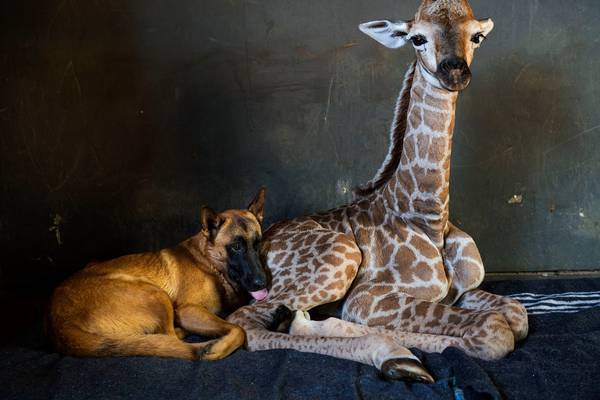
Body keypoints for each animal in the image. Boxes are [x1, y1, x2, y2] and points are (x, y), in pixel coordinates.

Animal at [48, 189, 268, 360]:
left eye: (258, 243)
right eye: (236, 247)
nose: (262, 283)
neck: (210, 262)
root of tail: (58, 326)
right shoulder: (188, 311)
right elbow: (238, 329)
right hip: (156, 295)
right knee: (171, 338)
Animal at [227, 0, 528, 382]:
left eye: (477, 36)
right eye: (417, 38)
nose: (454, 72)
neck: (430, 218)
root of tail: (263, 237)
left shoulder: (461, 292)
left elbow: (516, 314)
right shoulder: (366, 298)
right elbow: (493, 331)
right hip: (336, 259)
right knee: (245, 324)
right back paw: (394, 357)